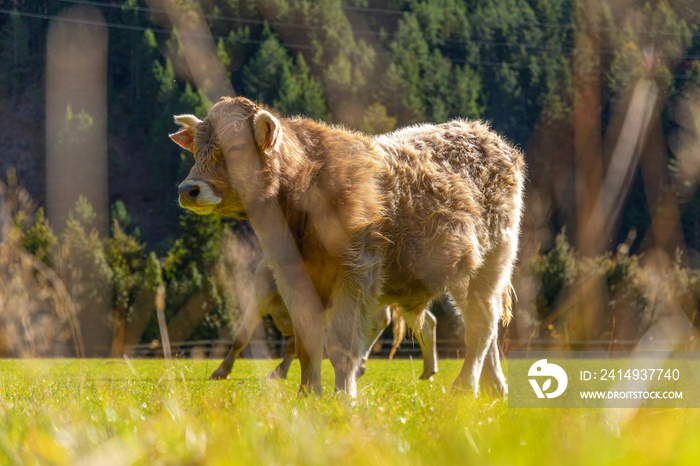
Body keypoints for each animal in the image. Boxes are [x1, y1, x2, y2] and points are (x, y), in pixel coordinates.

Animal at [170, 97, 524, 396]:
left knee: (481, 324)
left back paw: (466, 386)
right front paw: (308, 394)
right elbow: (306, 343)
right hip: (462, 273)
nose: (188, 189)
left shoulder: (357, 273)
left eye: (237, 147)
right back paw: (494, 386)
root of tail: (482, 132)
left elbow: (341, 342)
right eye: (196, 150)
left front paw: (343, 396)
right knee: (486, 324)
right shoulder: (292, 279)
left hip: (495, 259)